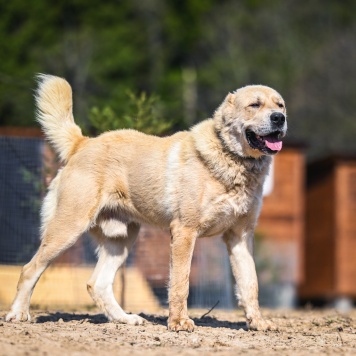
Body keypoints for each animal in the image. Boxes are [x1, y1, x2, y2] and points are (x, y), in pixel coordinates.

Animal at [5, 74, 286, 330]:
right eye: (254, 105)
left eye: (280, 105)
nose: (279, 119)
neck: (233, 160)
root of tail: (83, 143)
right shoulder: (184, 232)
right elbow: (181, 282)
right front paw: (179, 322)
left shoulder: (240, 237)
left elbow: (250, 283)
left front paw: (258, 323)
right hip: (68, 229)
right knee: (29, 269)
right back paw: (18, 314)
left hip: (121, 240)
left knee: (98, 284)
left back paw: (125, 319)